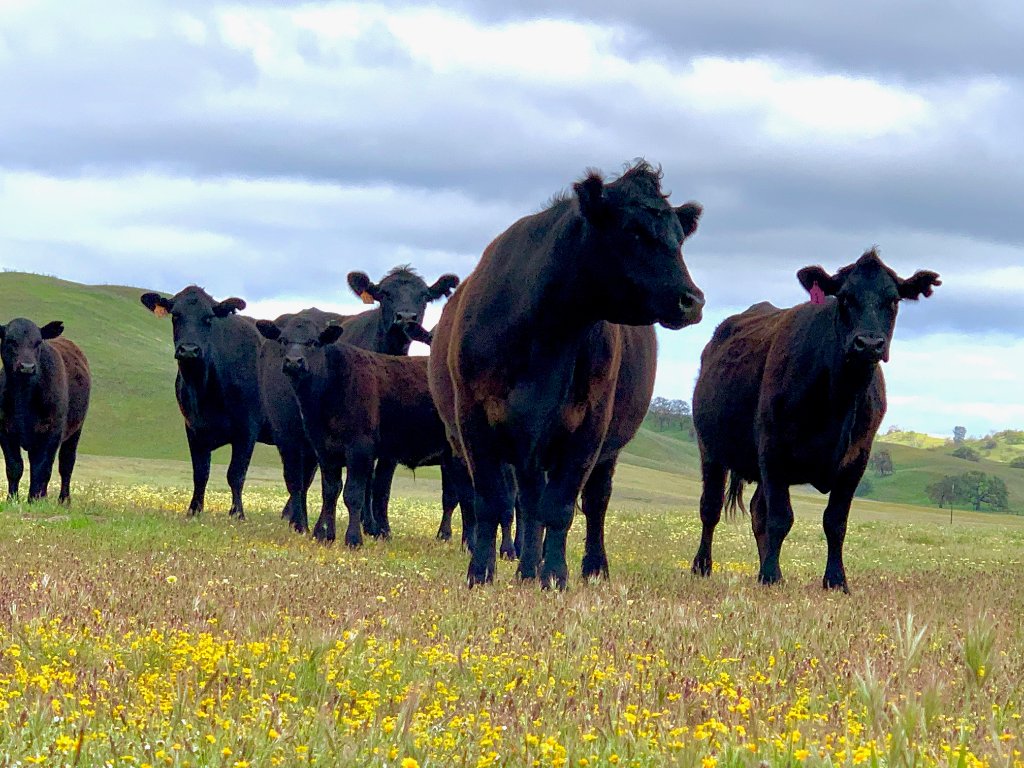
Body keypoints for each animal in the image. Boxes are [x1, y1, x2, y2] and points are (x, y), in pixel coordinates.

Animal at [0, 319, 90, 503]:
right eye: (10, 340)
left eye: (38, 342)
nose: (27, 367)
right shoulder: (4, 430)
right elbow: (14, 467)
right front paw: (12, 499)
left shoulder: (52, 432)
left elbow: (41, 468)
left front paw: (34, 500)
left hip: (76, 431)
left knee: (66, 464)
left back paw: (64, 500)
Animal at [141, 286, 270, 519]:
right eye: (175, 315)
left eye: (208, 318)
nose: (189, 350)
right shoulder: (193, 428)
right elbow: (200, 473)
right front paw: (194, 510)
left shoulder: (248, 429)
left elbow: (236, 474)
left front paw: (237, 514)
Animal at [256, 320, 454, 548]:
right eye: (283, 340)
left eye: (314, 342)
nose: (293, 361)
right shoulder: (324, 450)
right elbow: (330, 491)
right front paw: (324, 534)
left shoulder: (359, 449)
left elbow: (353, 494)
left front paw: (353, 539)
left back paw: (450, 537)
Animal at [430, 161, 705, 588]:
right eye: (634, 230)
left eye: (679, 237)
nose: (692, 300)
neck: (547, 335)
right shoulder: (474, 418)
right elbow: (492, 502)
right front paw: (481, 573)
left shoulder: (589, 425)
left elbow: (559, 507)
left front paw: (556, 576)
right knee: (527, 504)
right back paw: (527, 568)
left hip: (602, 449)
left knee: (593, 503)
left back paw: (590, 567)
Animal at [690, 248, 940, 592]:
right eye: (845, 297)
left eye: (893, 300)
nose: (869, 343)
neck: (838, 399)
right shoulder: (772, 449)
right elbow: (780, 517)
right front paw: (771, 575)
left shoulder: (856, 460)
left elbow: (835, 521)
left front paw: (835, 580)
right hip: (710, 448)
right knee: (711, 507)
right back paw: (703, 566)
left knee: (756, 510)